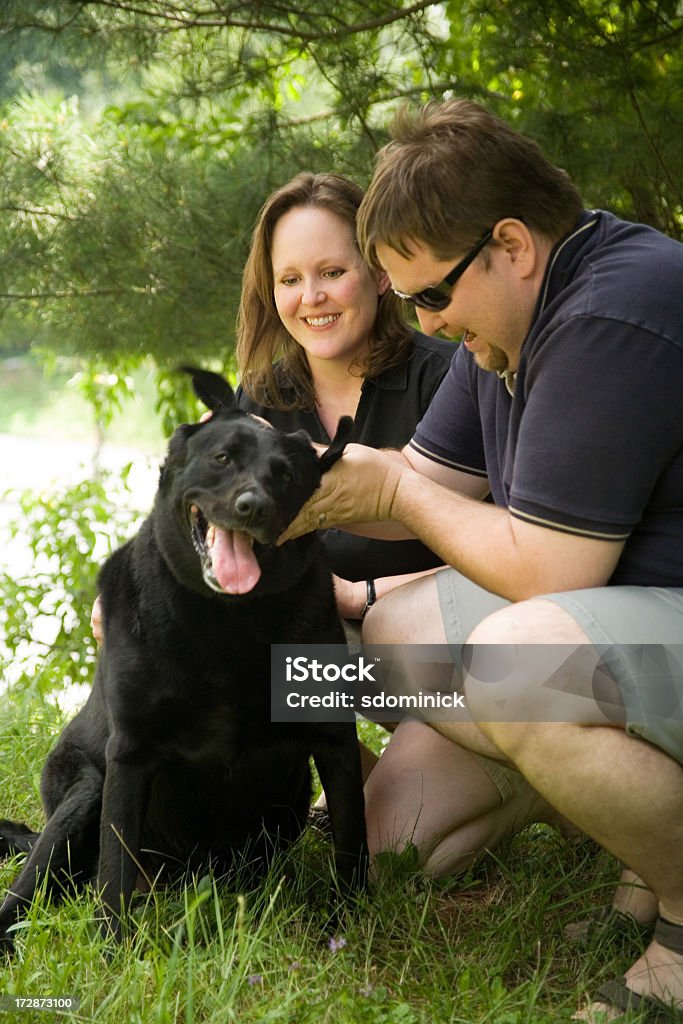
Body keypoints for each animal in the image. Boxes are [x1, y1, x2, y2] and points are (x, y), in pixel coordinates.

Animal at [0, 366, 368, 942]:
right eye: (222, 458)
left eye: (286, 476)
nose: (252, 507)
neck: (228, 623)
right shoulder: (129, 755)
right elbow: (114, 874)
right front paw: (113, 950)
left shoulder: (333, 740)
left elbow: (353, 846)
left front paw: (349, 927)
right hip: (82, 796)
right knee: (31, 893)